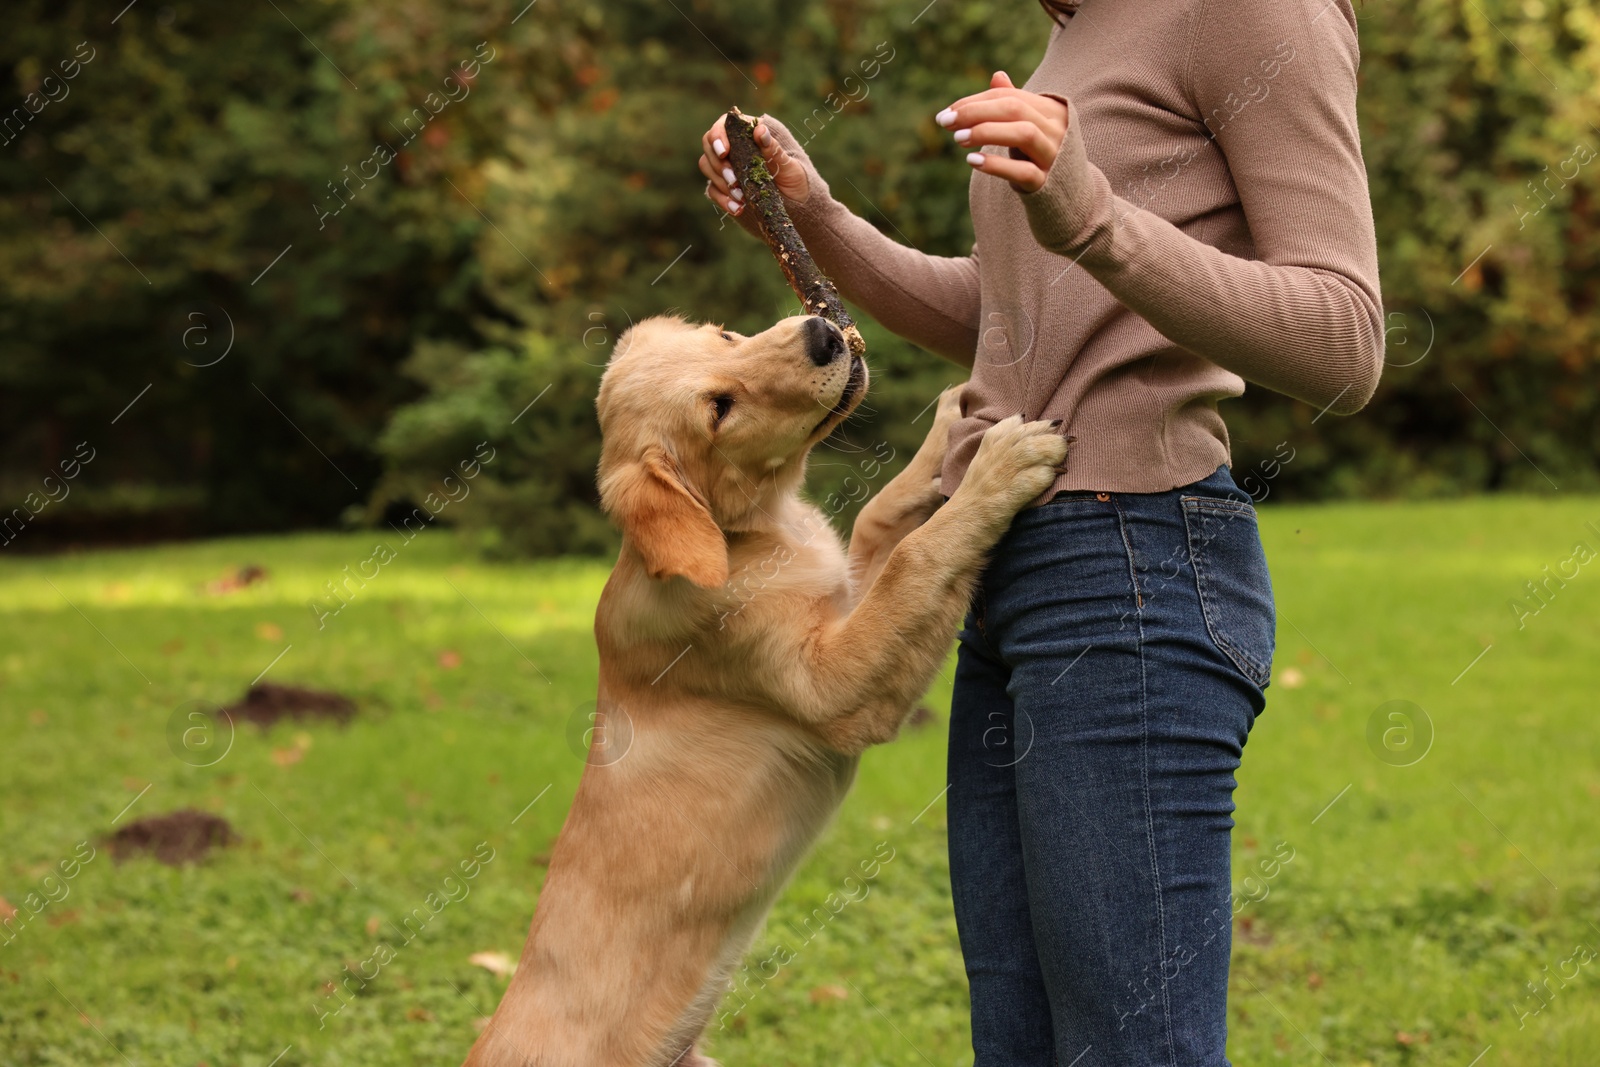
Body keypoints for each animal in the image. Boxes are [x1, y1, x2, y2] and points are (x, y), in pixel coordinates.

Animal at [460, 313, 1062, 1067]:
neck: (747, 533)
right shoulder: (832, 682)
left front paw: (949, 429)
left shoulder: (843, 594)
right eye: (720, 409)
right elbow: (916, 556)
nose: (822, 335)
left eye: (723, 336)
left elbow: (884, 520)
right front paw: (999, 469)